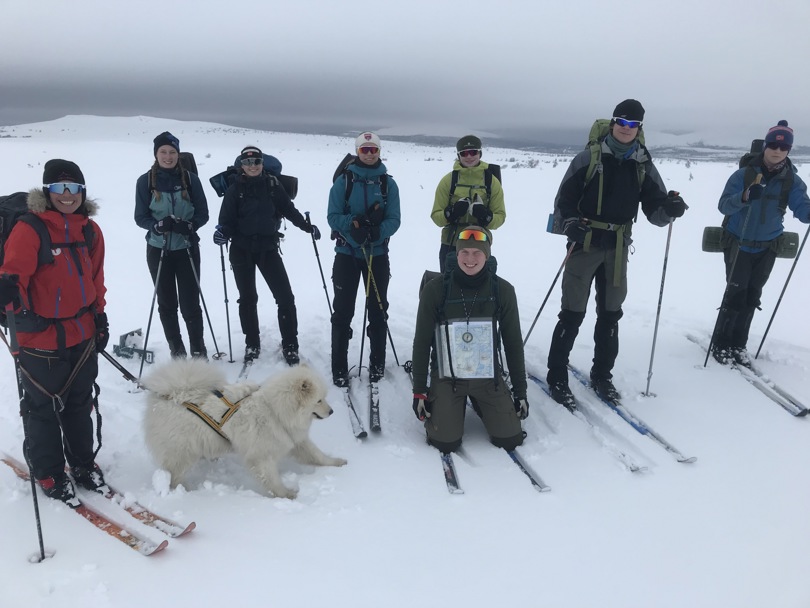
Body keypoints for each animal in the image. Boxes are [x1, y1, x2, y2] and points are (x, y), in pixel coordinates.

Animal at [142, 360, 344, 498]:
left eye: (325, 397)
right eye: (319, 400)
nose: (332, 411)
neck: (274, 409)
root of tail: (170, 396)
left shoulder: (295, 439)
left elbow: (317, 455)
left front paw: (337, 463)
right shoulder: (261, 456)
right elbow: (272, 479)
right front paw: (287, 494)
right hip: (182, 453)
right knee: (173, 475)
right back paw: (184, 491)